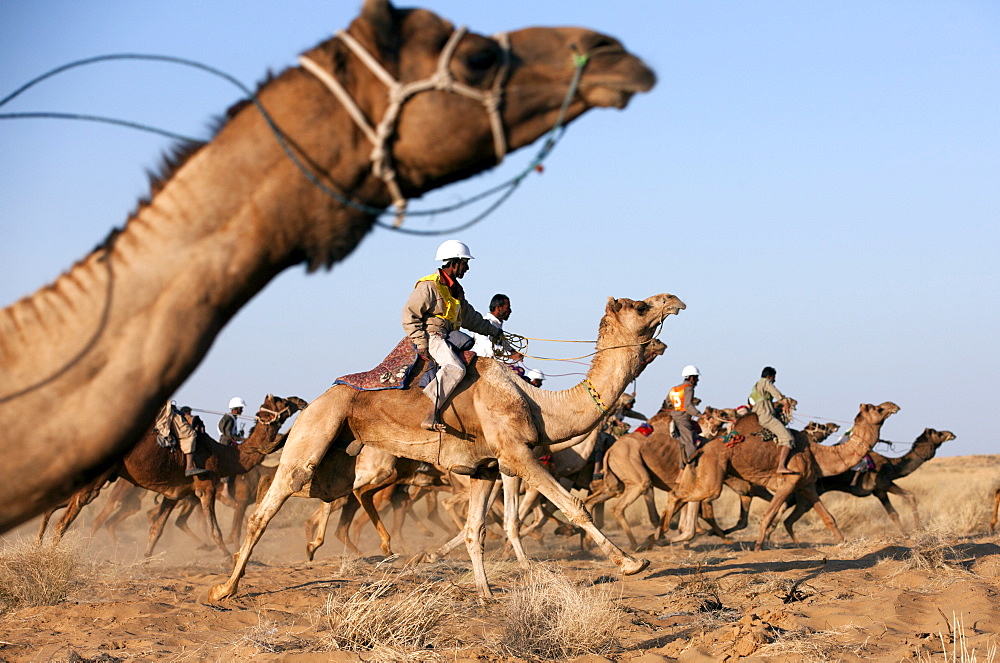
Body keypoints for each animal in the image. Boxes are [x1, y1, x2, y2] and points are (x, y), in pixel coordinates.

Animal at [39, 396, 302, 556]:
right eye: (281, 400)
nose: (299, 401)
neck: (223, 454)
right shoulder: (206, 487)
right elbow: (217, 530)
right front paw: (228, 560)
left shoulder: (175, 493)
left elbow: (156, 529)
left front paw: (145, 559)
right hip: (101, 481)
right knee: (68, 517)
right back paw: (53, 553)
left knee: (54, 507)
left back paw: (39, 544)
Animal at [211, 292, 688, 600]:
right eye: (642, 305)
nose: (675, 299)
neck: (540, 405)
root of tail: (314, 400)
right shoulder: (517, 455)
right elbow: (573, 506)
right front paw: (631, 563)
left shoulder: (485, 469)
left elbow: (477, 530)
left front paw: (486, 593)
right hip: (316, 433)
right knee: (268, 506)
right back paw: (224, 588)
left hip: (341, 457)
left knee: (331, 493)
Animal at [660, 402, 904, 552]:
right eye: (878, 408)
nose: (894, 406)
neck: (818, 453)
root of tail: (702, 447)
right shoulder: (789, 482)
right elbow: (768, 515)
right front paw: (758, 547)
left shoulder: (807, 485)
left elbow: (828, 517)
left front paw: (843, 542)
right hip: (714, 470)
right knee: (682, 495)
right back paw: (665, 533)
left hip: (701, 469)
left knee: (681, 495)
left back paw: (668, 535)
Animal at [776, 430, 956, 540]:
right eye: (939, 433)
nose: (952, 434)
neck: (893, 465)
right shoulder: (882, 485)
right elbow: (902, 504)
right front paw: (915, 531)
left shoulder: (880, 489)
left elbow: (898, 508)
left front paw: (912, 531)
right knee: (786, 513)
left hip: (806, 495)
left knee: (788, 517)